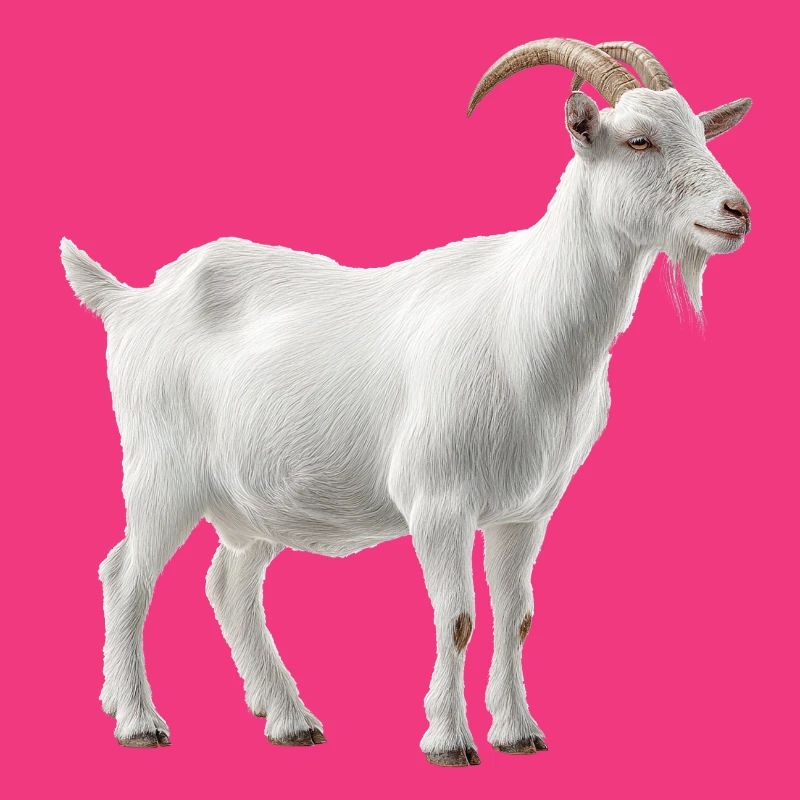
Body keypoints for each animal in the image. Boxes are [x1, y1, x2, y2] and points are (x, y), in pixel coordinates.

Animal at [62, 38, 751, 765]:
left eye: (701, 132)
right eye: (639, 140)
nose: (736, 212)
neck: (522, 321)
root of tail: (130, 301)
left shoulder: (524, 512)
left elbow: (518, 617)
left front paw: (518, 731)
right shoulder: (438, 500)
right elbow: (457, 617)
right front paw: (449, 739)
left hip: (253, 500)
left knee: (228, 583)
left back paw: (288, 718)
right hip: (161, 472)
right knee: (126, 576)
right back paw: (138, 720)